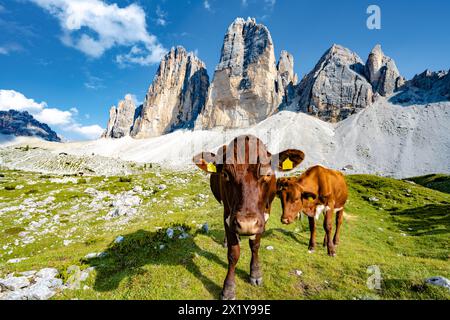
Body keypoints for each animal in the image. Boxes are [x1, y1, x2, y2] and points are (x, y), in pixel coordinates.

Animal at [193, 135, 306, 300]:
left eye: (267, 174)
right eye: (225, 174)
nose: (246, 224)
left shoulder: (263, 217)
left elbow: (255, 245)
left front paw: (255, 274)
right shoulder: (229, 215)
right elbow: (233, 254)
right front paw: (228, 289)